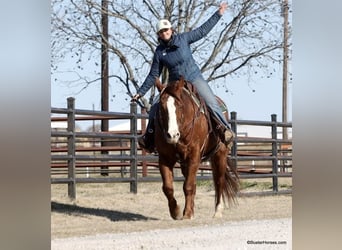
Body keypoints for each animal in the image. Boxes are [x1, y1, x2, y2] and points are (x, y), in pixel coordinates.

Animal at [154, 76, 239, 219]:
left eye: (179, 106)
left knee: (219, 181)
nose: (172, 135)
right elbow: (168, 187)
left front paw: (187, 214)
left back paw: (218, 211)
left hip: (220, 154)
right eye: (161, 107)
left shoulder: (194, 156)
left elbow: (188, 186)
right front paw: (176, 212)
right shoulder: (165, 158)